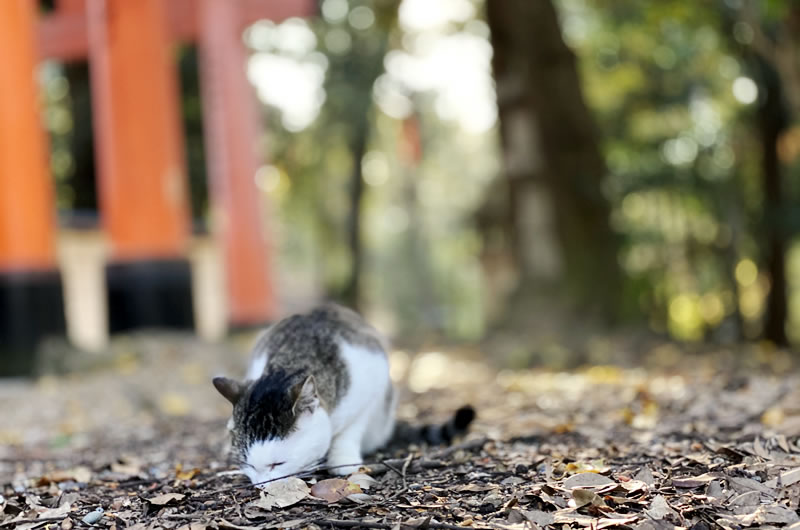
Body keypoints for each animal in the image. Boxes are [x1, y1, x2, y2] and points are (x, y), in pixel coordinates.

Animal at [212, 302, 476, 482]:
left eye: (278, 464)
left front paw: (342, 459)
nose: (262, 487)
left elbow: (351, 429)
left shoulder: (372, 378)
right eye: (248, 464)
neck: (289, 361)